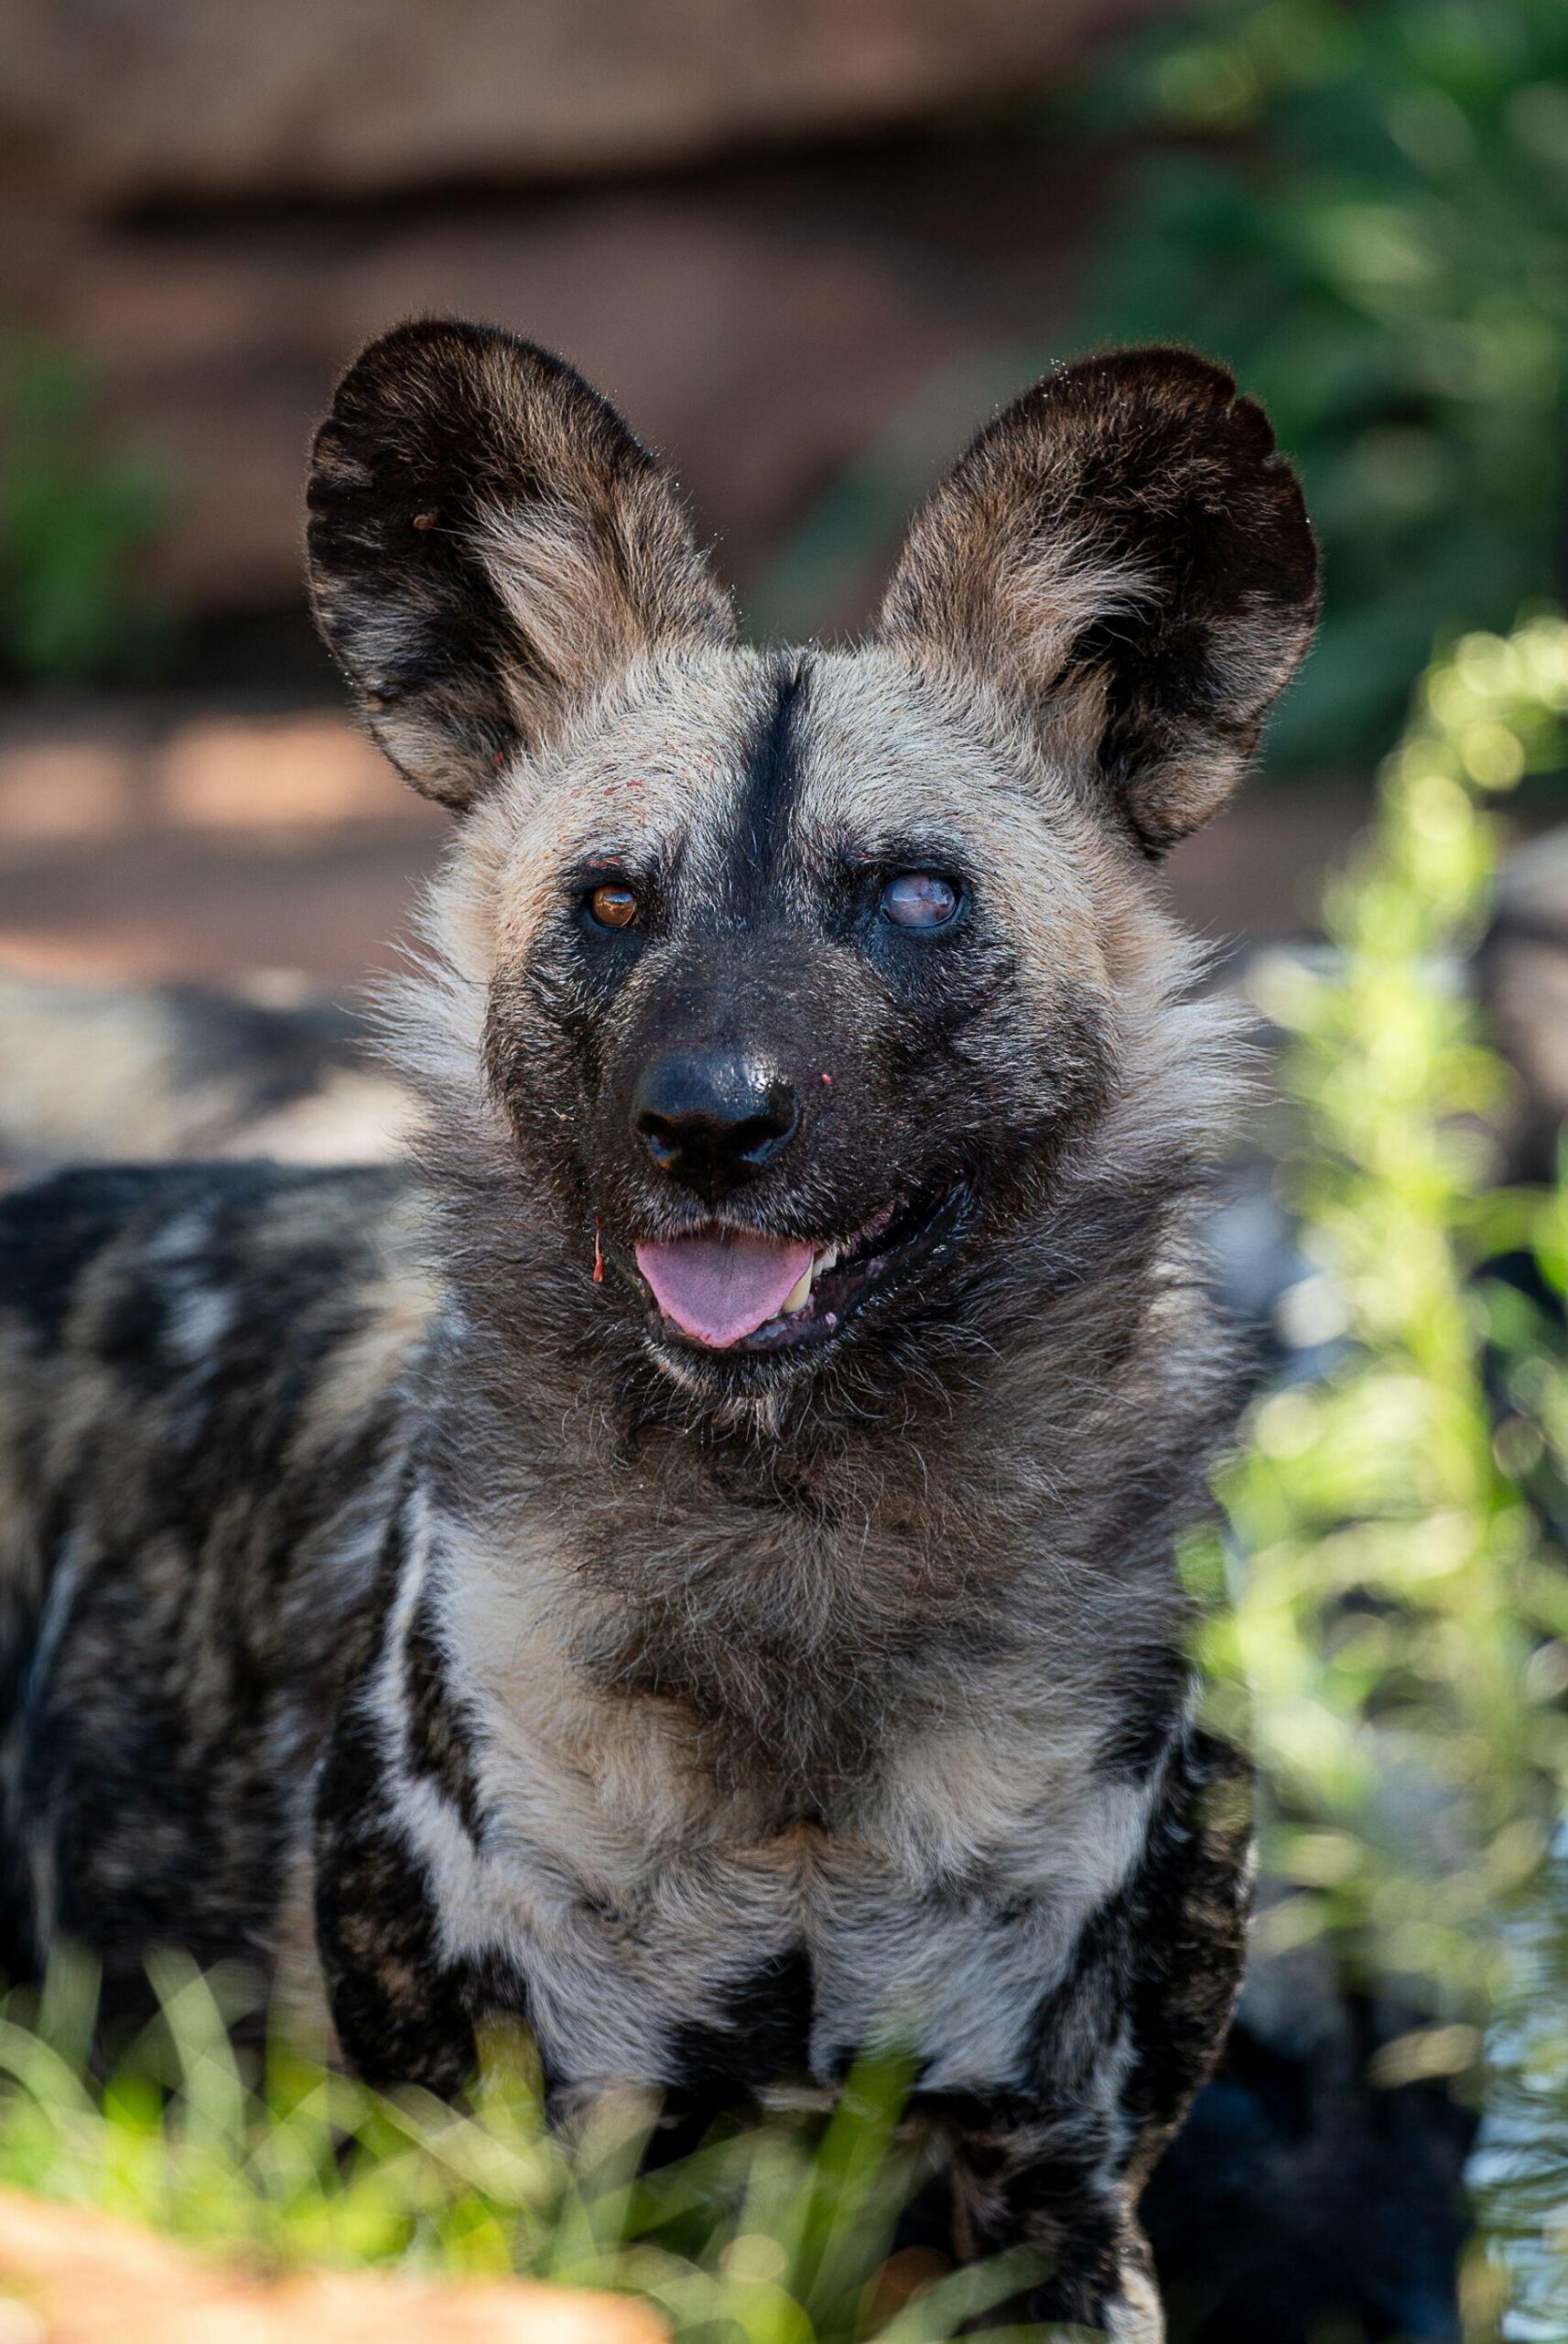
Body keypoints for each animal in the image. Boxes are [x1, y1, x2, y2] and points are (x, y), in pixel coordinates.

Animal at [0, 323, 1316, 2337]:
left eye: (913, 896)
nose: (707, 1122)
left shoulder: (1055, 2185)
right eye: (613, 900)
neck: (796, 1561)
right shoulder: (532, 2170)